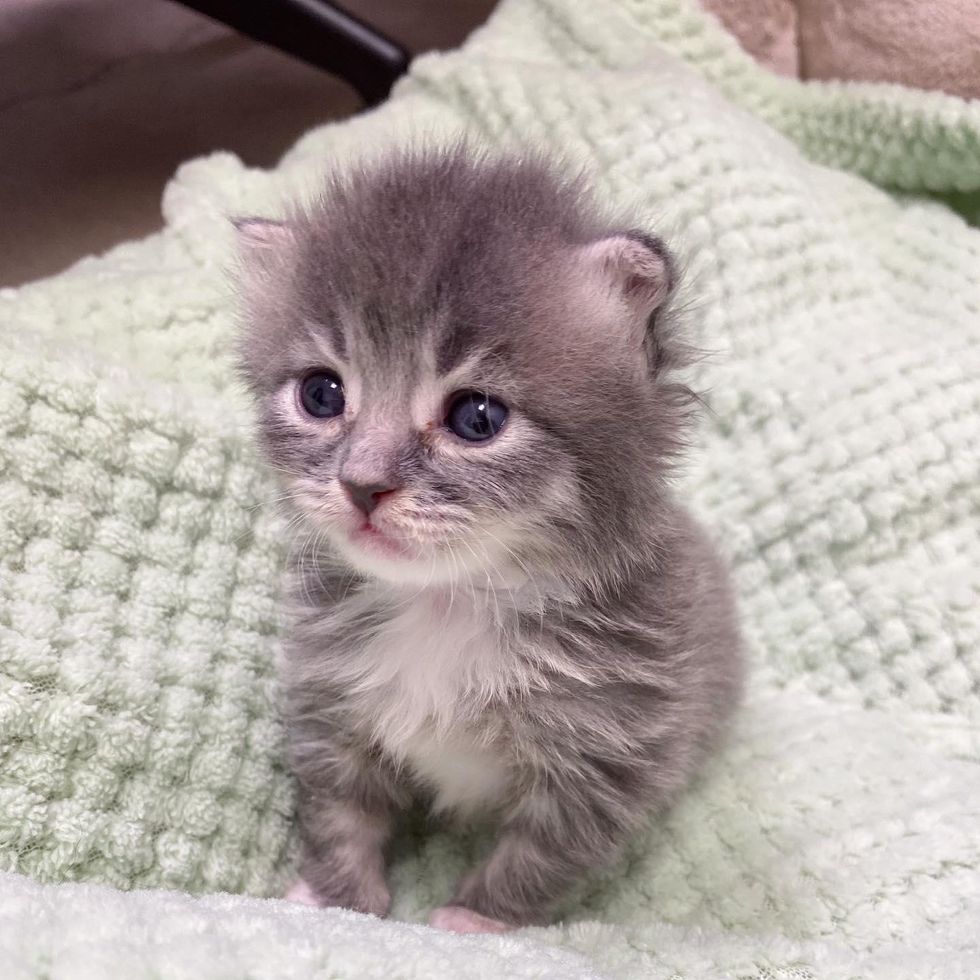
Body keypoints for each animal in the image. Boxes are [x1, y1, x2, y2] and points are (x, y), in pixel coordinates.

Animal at [235, 145, 744, 936]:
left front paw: (476, 921)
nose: (362, 484)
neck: (448, 605)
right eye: (321, 394)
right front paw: (337, 898)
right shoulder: (330, 708)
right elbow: (338, 813)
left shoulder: (608, 758)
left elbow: (539, 857)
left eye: (477, 417)